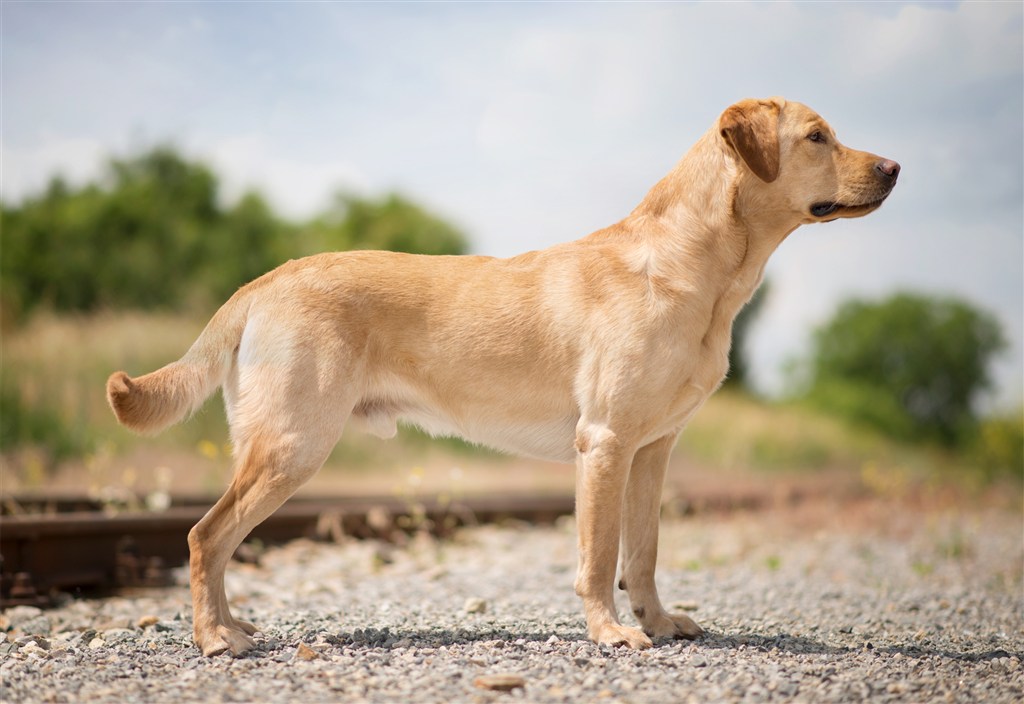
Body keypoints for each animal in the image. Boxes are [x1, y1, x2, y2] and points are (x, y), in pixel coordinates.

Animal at [108, 96, 901, 658]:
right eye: (818, 136)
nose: (895, 168)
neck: (697, 270)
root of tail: (263, 280)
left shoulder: (651, 450)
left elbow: (642, 554)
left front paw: (658, 622)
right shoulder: (604, 442)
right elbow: (599, 556)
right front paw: (611, 633)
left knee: (214, 540)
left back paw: (234, 627)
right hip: (292, 444)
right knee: (204, 536)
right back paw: (215, 639)